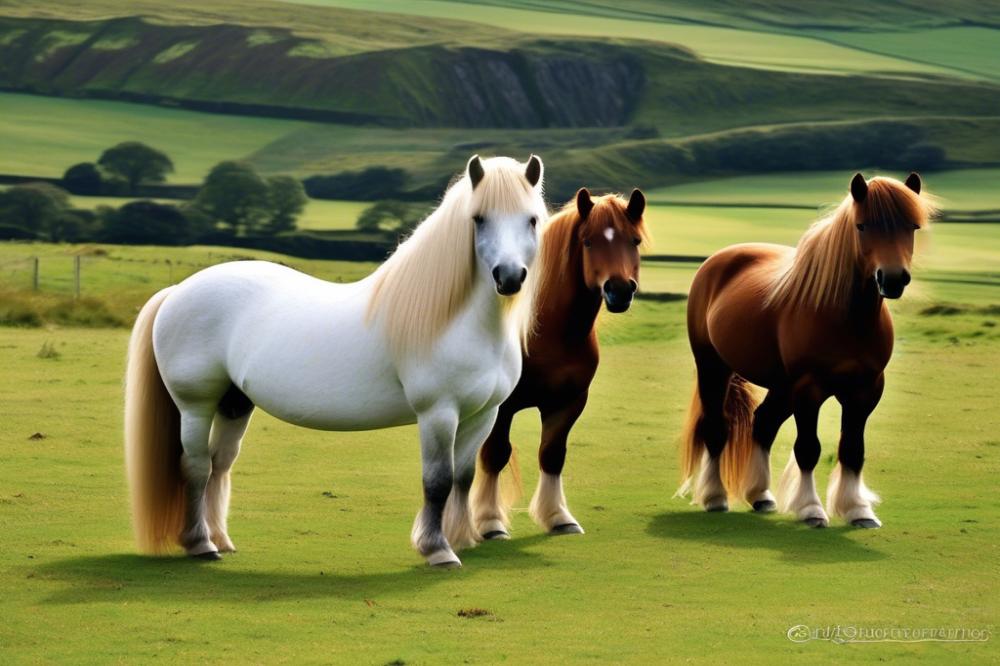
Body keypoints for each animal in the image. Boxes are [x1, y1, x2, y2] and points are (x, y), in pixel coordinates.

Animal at [126, 154, 552, 564]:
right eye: (478, 219)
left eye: (531, 219)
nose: (509, 277)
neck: (455, 321)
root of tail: (177, 291)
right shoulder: (439, 414)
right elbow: (438, 480)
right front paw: (438, 549)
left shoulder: (483, 414)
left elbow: (463, 476)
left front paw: (463, 538)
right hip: (195, 405)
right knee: (196, 466)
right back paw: (200, 544)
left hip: (235, 404)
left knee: (220, 463)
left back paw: (220, 540)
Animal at [470, 184, 648, 536]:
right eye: (588, 241)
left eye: (634, 240)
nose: (619, 290)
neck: (546, 332)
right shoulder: (503, 407)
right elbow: (495, 454)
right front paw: (490, 521)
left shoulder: (568, 402)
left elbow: (552, 454)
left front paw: (558, 517)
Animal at [676, 174, 932, 528]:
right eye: (862, 226)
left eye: (912, 226)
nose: (892, 279)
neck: (846, 318)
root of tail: (716, 262)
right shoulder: (809, 390)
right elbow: (808, 448)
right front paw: (811, 509)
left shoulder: (865, 391)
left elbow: (853, 449)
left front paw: (858, 510)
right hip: (713, 367)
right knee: (716, 427)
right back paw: (716, 497)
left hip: (782, 386)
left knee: (763, 424)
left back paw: (761, 495)